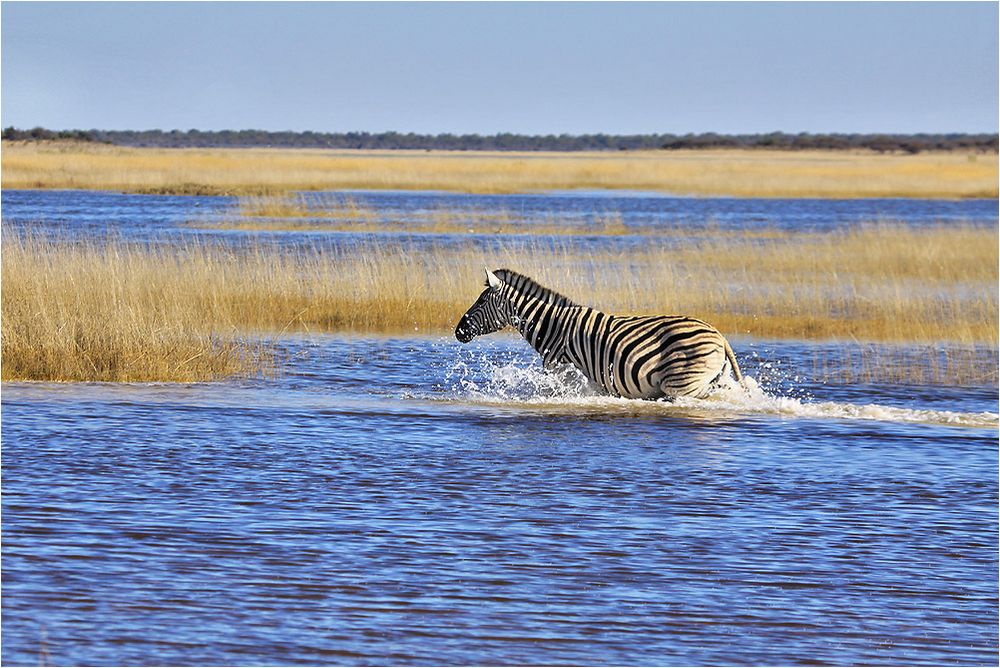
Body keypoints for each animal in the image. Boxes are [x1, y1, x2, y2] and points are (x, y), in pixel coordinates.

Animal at [456, 268, 744, 402]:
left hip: (682, 382)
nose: (458, 331)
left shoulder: (566, 371)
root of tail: (719, 335)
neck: (552, 326)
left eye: (481, 301)